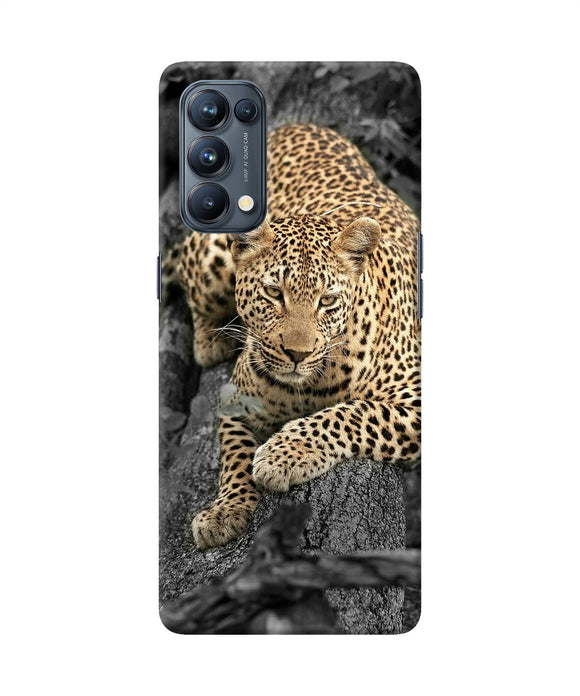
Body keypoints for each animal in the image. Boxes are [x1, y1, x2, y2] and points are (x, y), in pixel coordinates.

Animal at [172, 123, 421, 550]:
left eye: (327, 300)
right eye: (274, 293)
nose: (297, 354)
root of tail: (291, 125)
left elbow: (352, 413)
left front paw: (282, 455)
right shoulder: (235, 400)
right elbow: (234, 456)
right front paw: (224, 511)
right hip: (211, 258)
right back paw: (210, 341)